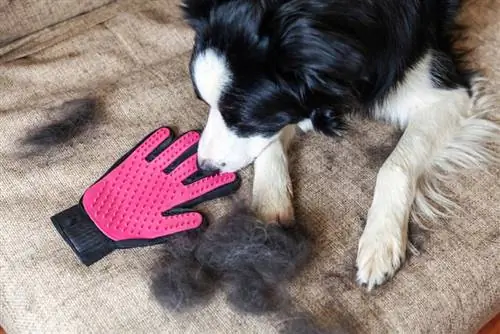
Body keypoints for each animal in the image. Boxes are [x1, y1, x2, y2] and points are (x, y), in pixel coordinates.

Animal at [182, 0, 498, 288]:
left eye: (242, 117)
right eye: (203, 102)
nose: (204, 167)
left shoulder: (445, 92)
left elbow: (394, 166)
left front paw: (380, 241)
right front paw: (267, 214)